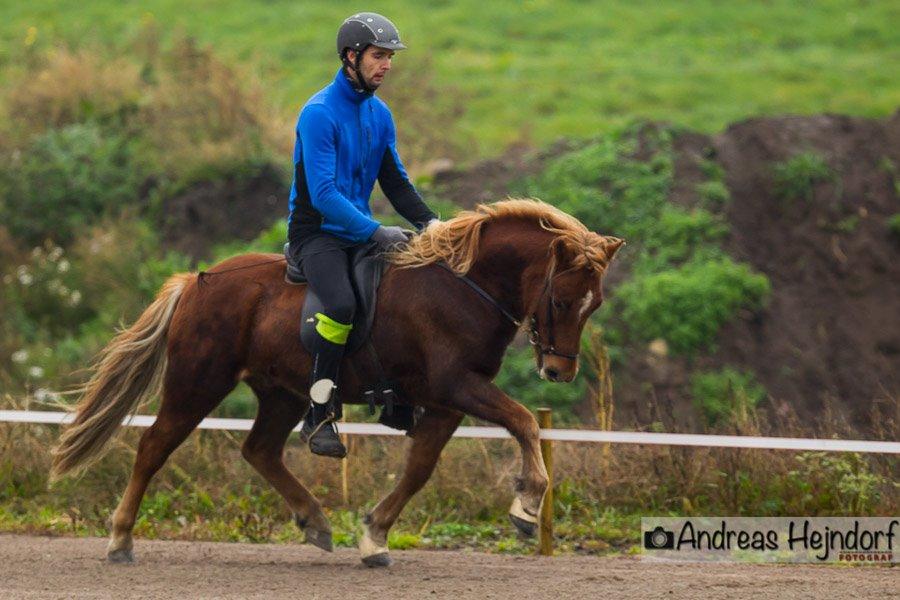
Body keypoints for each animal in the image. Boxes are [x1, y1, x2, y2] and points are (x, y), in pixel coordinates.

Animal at [52, 200, 624, 568]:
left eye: (594, 304)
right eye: (559, 301)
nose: (559, 372)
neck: (465, 285)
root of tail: (196, 281)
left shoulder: (446, 403)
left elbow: (419, 470)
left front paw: (374, 536)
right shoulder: (457, 386)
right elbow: (525, 422)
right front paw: (526, 506)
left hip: (281, 393)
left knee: (260, 451)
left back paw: (314, 521)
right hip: (198, 383)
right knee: (153, 446)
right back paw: (120, 540)